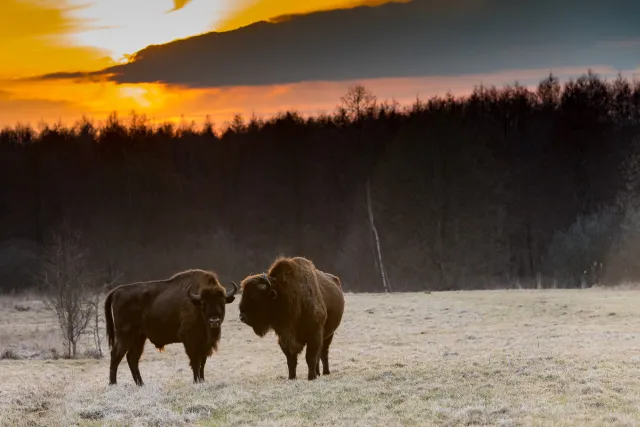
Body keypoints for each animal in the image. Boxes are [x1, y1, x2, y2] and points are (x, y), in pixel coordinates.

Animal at [104, 270, 238, 388]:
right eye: (203, 304)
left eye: (222, 303)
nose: (214, 321)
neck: (195, 303)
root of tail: (117, 291)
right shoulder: (190, 340)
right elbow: (195, 362)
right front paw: (196, 382)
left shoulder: (204, 344)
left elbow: (202, 363)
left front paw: (202, 380)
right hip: (125, 336)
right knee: (116, 355)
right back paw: (113, 384)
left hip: (139, 338)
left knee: (132, 358)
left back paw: (140, 384)